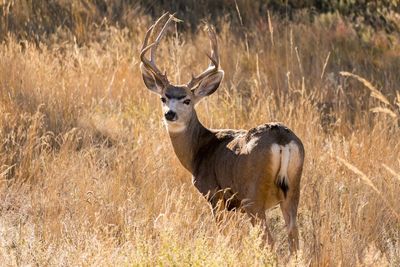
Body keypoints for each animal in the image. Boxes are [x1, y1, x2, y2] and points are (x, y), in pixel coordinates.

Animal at [139, 12, 304, 254]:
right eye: (163, 98)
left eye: (187, 100)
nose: (170, 114)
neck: (199, 151)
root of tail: (282, 139)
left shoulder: (214, 195)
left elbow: (222, 235)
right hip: (293, 189)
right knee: (295, 239)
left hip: (253, 196)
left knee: (269, 240)